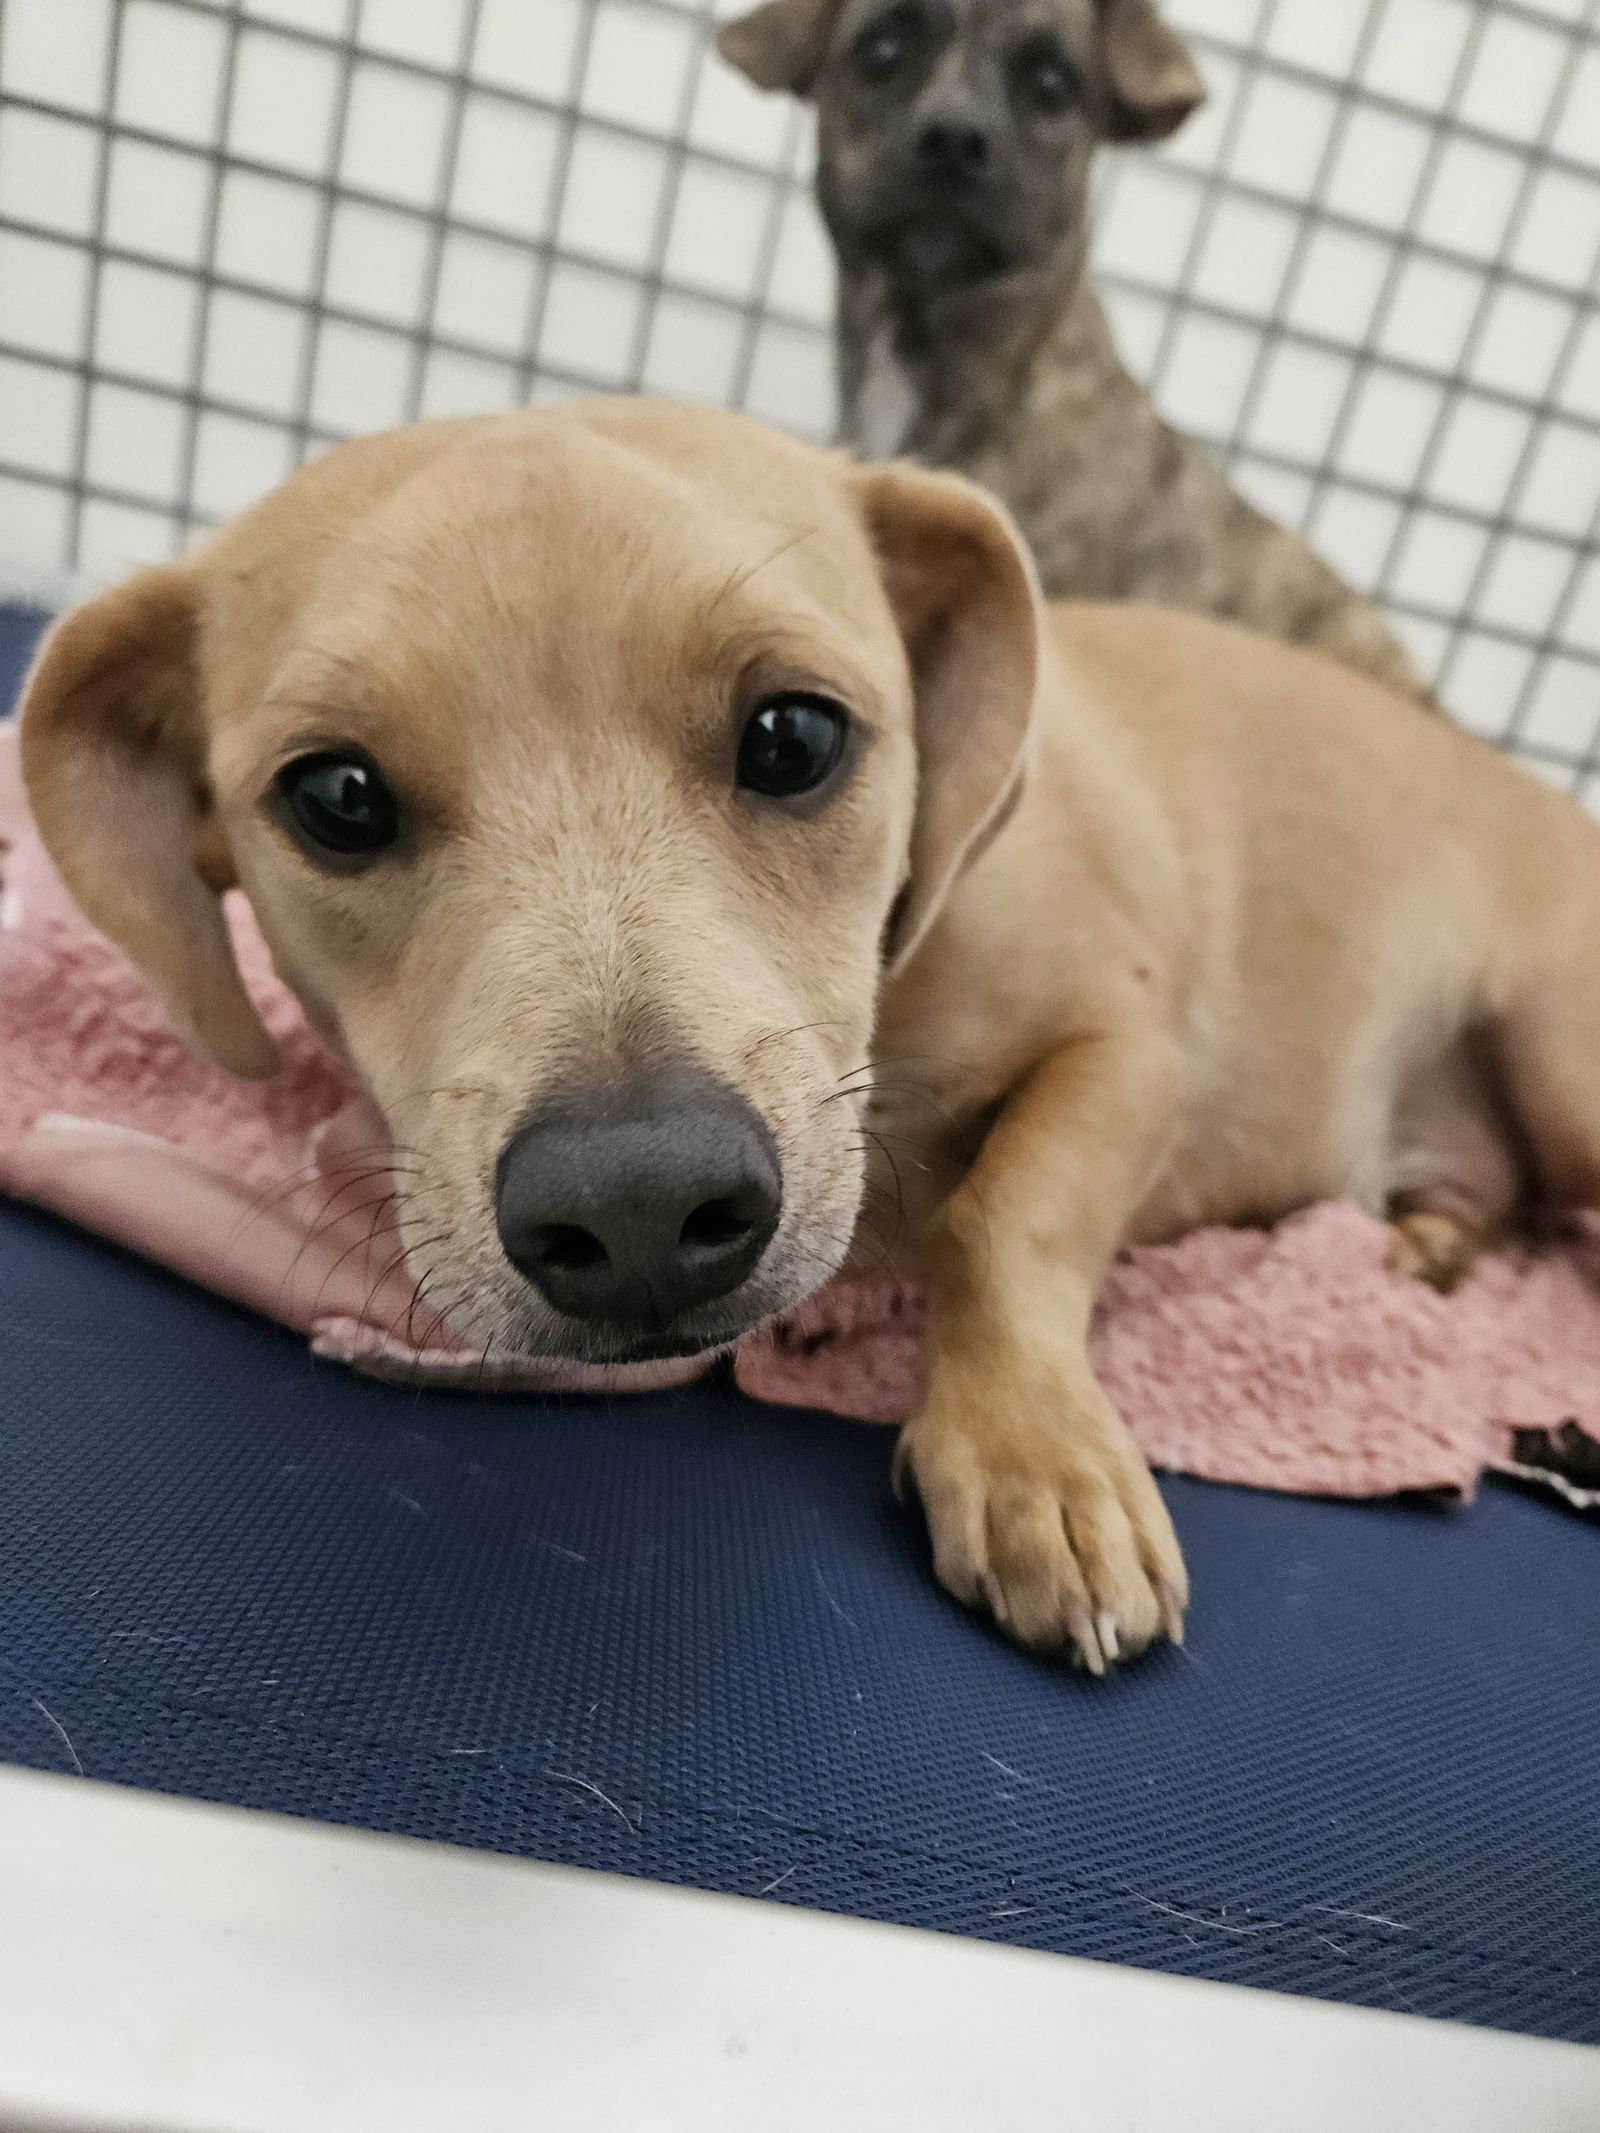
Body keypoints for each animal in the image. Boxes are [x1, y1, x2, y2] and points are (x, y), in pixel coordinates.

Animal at [21, 401, 1600, 1663]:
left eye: (794, 735)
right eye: (337, 796)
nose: (640, 1213)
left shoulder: (1131, 1052)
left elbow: (1001, 1220)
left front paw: (1036, 1460)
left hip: (1564, 1069)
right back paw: (1428, 1247)